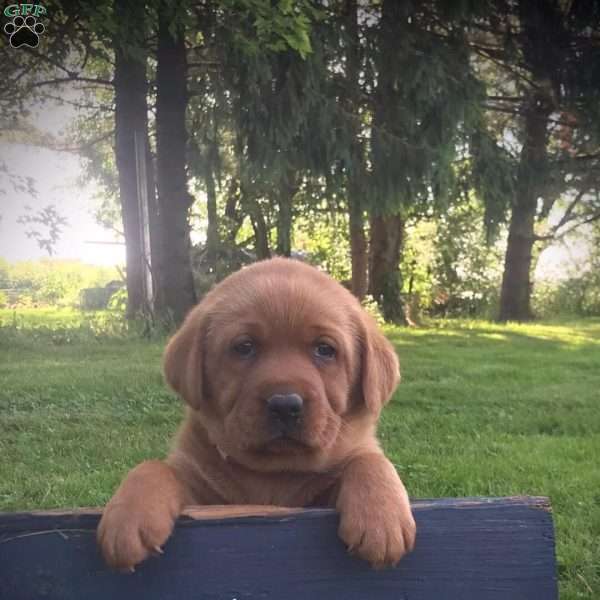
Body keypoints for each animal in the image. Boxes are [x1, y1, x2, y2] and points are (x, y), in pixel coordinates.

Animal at [98, 255, 418, 568]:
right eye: (244, 347)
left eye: (325, 350)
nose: (285, 405)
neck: (272, 474)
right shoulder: (203, 499)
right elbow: (155, 467)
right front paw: (128, 516)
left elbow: (368, 460)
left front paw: (381, 519)